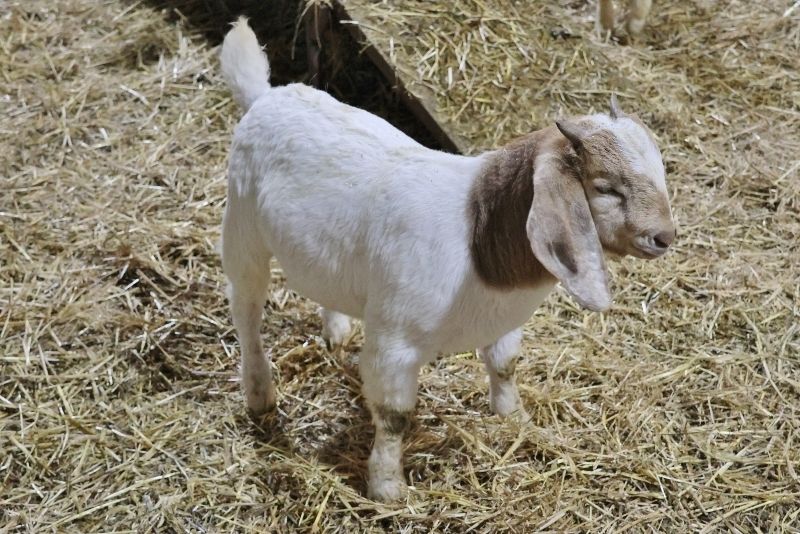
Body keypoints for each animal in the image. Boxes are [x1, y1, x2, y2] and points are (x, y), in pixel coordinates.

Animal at [217, 16, 676, 502]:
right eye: (605, 187)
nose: (664, 237)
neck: (477, 237)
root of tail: (266, 95)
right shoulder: (393, 343)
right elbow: (394, 415)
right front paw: (387, 488)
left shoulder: (504, 321)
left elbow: (505, 365)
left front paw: (515, 419)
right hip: (242, 230)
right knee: (246, 311)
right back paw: (259, 394)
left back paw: (336, 329)